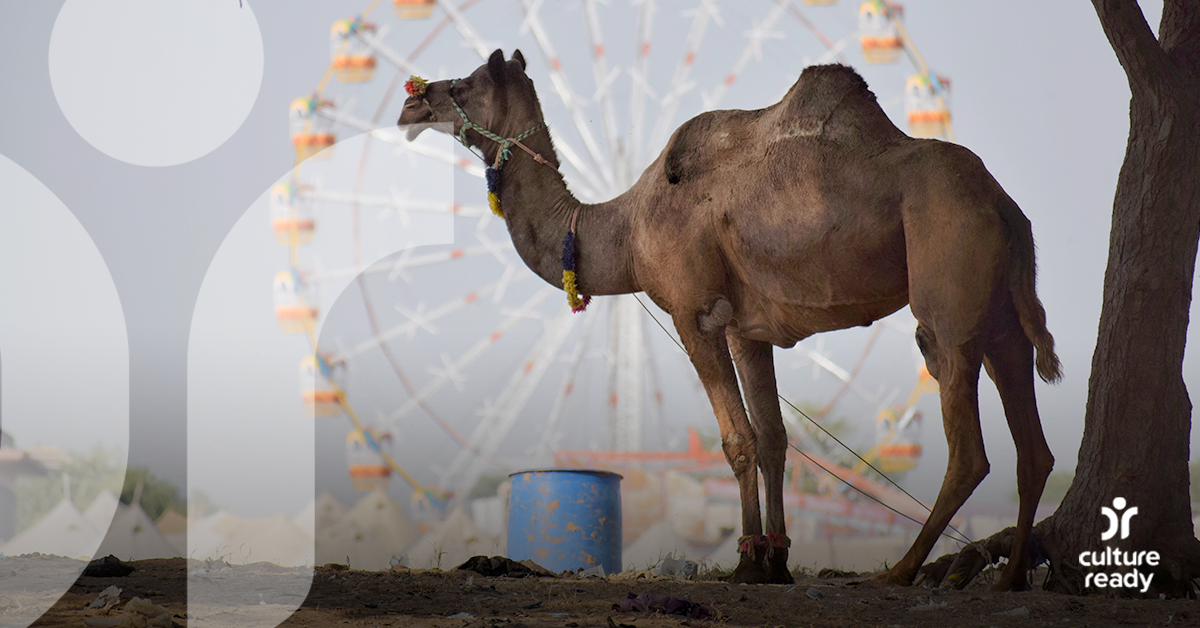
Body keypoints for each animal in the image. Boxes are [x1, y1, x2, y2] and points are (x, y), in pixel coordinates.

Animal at [399, 50, 1060, 589]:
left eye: (466, 82)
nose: (411, 100)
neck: (625, 232)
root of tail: (1006, 205)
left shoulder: (695, 314)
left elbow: (738, 440)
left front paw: (745, 563)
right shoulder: (747, 330)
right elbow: (773, 438)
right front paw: (776, 561)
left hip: (949, 288)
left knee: (968, 444)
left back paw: (899, 572)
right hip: (1001, 312)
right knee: (1032, 444)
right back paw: (1011, 579)